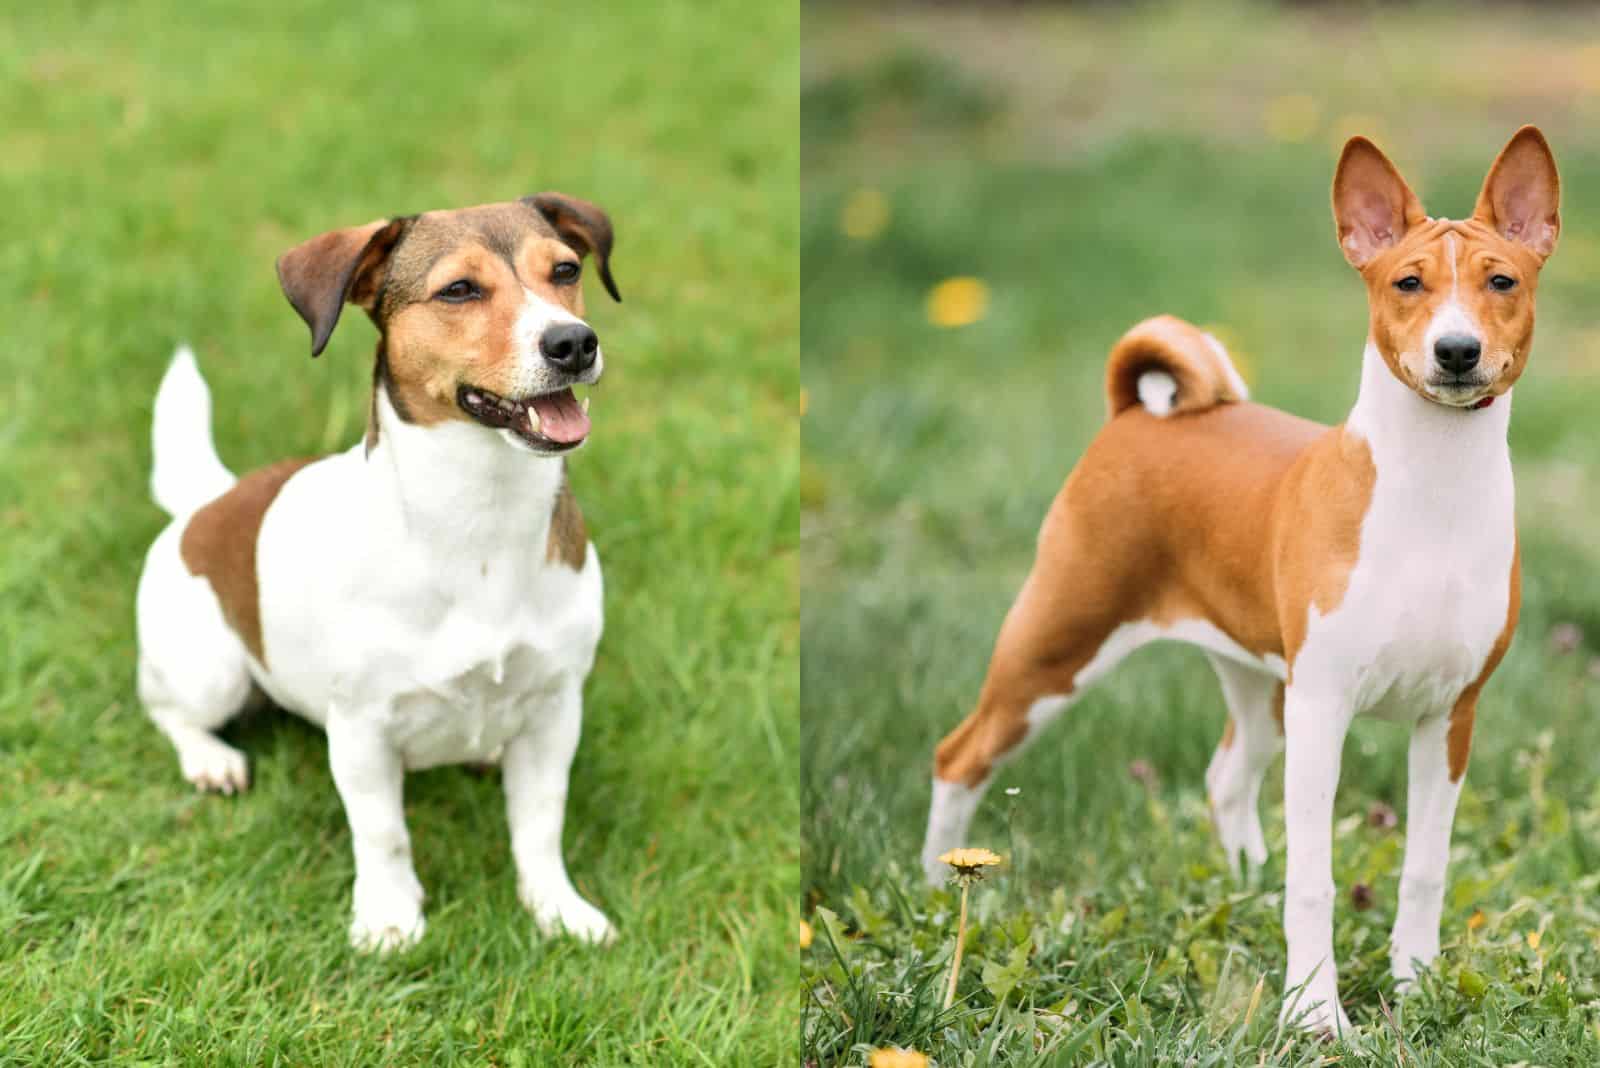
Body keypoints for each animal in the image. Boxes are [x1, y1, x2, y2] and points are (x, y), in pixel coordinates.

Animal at [139, 191, 624, 952]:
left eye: (566, 270)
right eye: (459, 289)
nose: (574, 342)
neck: (481, 516)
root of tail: (208, 499)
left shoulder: (554, 708)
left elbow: (541, 824)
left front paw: (557, 910)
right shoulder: (362, 730)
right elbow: (383, 832)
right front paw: (391, 918)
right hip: (209, 672)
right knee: (167, 709)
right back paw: (210, 760)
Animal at [921, 129, 1555, 1029]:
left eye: (1502, 281)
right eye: (1408, 283)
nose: (1457, 351)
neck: (1430, 490)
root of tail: (1138, 415)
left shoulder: (1448, 716)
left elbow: (1424, 872)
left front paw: (1416, 988)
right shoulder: (1325, 707)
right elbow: (1315, 882)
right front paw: (1317, 1015)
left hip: (1259, 683)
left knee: (1226, 778)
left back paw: (1246, 883)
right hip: (1056, 645)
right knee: (960, 756)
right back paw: (935, 889)